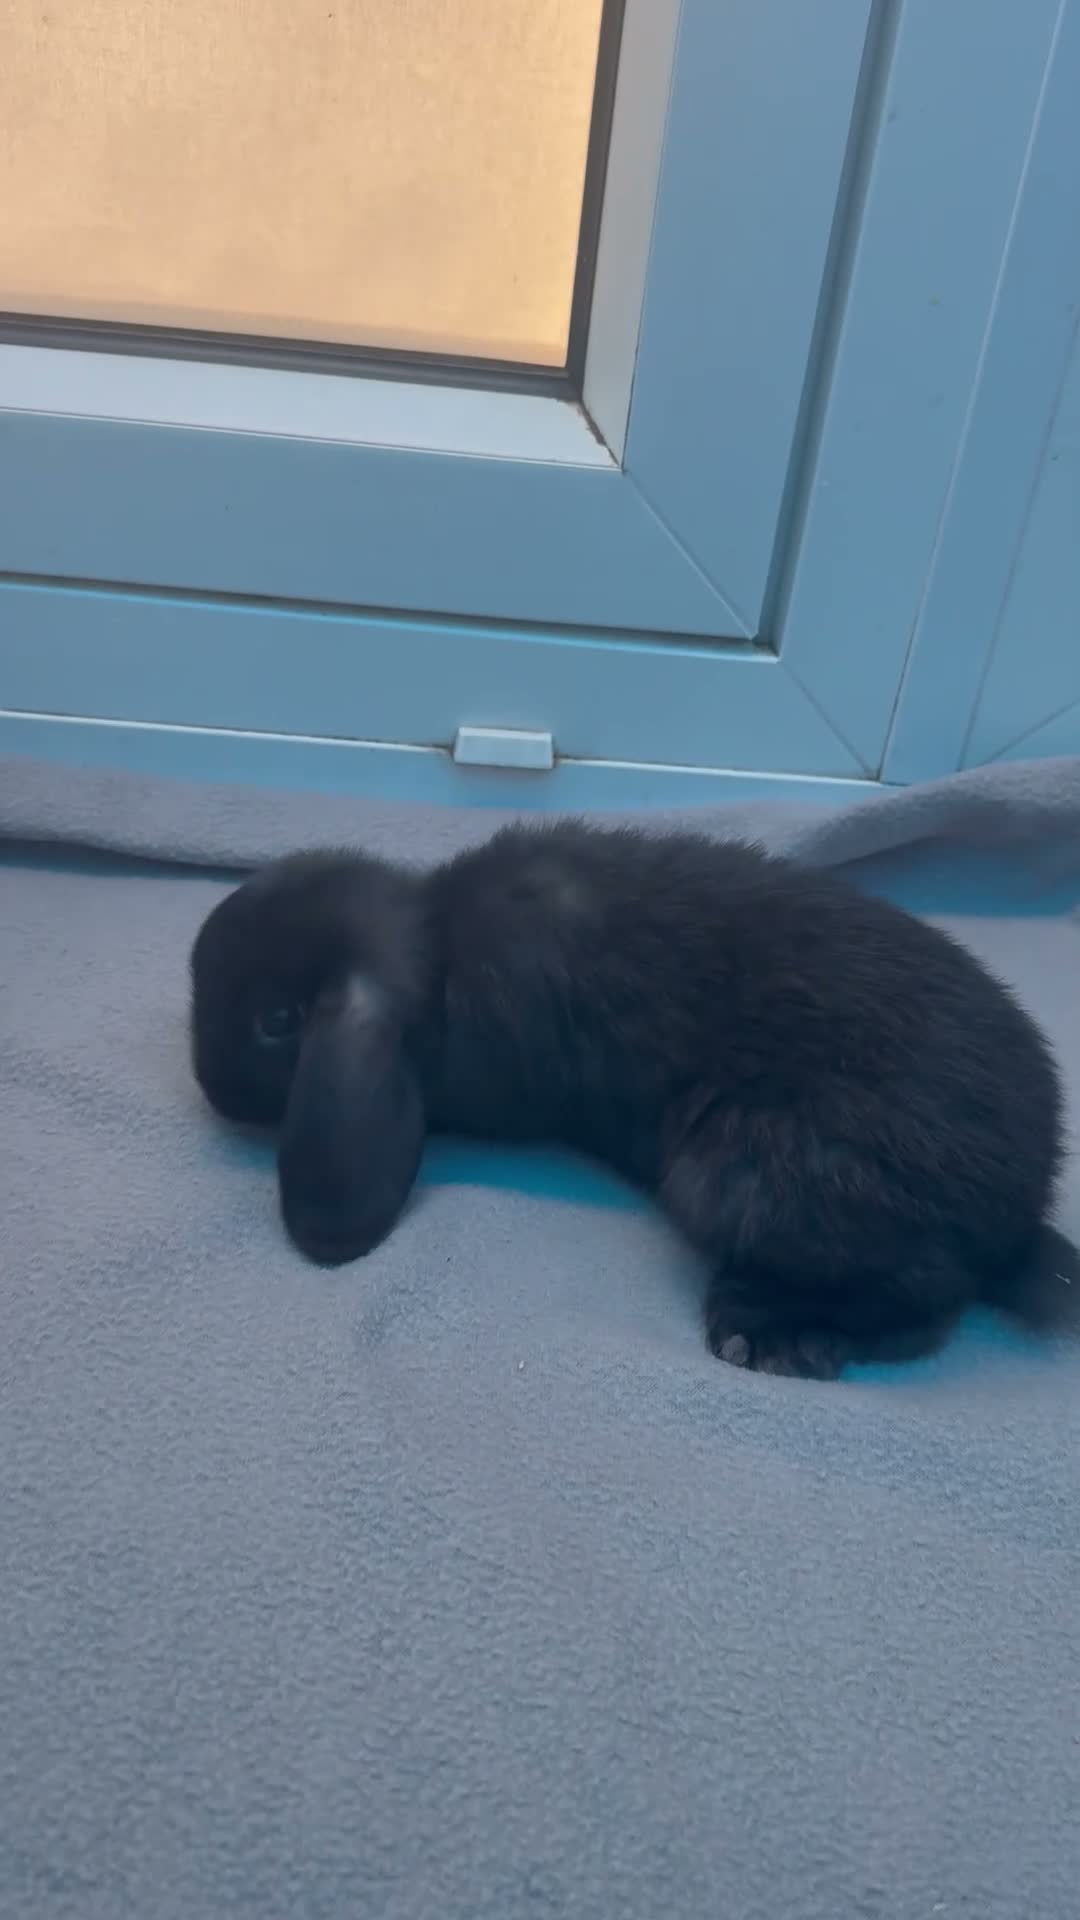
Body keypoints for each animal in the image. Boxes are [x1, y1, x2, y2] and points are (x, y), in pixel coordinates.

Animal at [190, 819, 1079, 1378]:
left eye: (276, 1022)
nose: (208, 1083)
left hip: (734, 1172)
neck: (439, 945)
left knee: (929, 1302)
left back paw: (771, 1335)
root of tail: (1020, 1210)